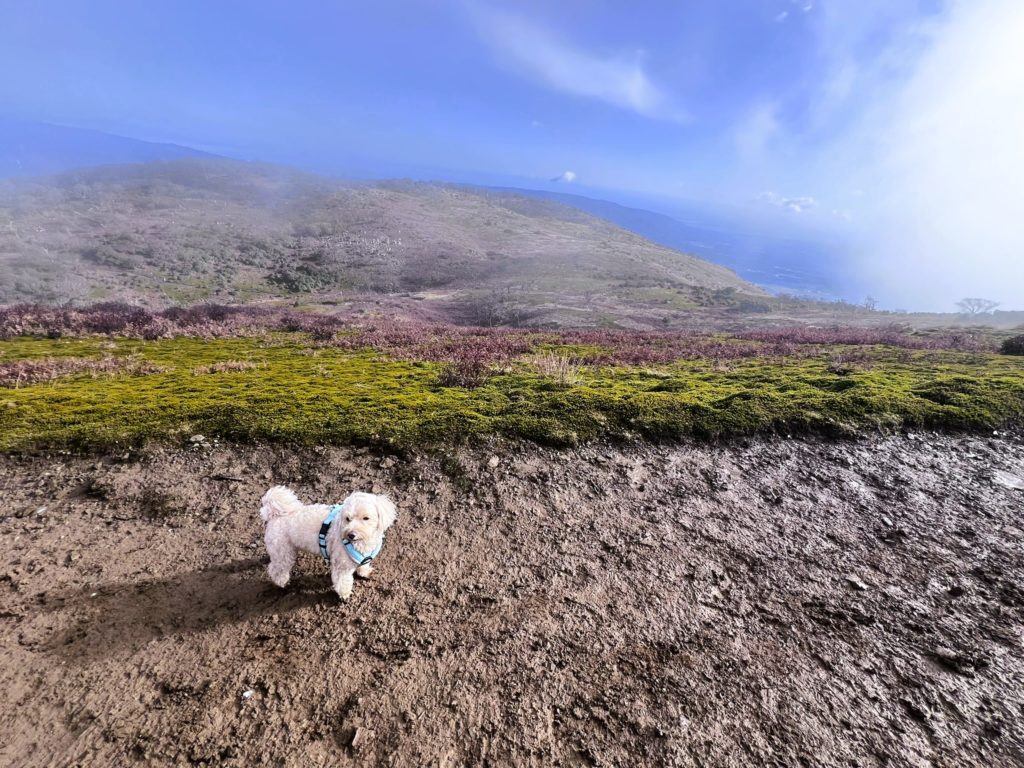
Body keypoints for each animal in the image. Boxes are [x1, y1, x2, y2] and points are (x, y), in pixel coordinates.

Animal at [259, 486, 397, 600]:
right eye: (348, 519)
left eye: (366, 518)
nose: (350, 535)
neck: (363, 542)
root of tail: (274, 515)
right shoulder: (342, 566)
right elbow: (342, 582)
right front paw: (344, 595)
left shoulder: (364, 556)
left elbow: (363, 565)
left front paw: (364, 572)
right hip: (282, 552)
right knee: (275, 569)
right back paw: (283, 584)